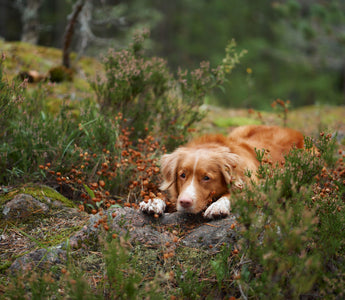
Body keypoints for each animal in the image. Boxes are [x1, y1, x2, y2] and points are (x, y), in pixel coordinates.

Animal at [138, 124, 302, 218]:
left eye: (206, 178)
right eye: (182, 175)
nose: (184, 202)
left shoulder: (257, 188)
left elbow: (233, 194)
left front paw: (218, 206)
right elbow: (166, 196)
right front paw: (153, 202)